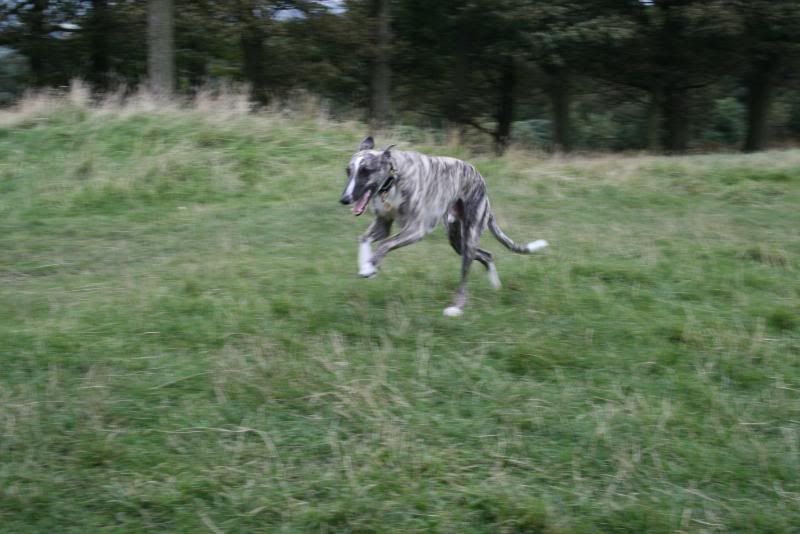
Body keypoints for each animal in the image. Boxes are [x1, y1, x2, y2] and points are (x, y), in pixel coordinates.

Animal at [338, 136, 552, 318]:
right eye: (348, 171)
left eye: (365, 171)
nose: (344, 199)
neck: (393, 179)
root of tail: (482, 185)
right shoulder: (383, 224)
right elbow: (364, 238)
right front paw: (366, 265)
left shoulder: (416, 229)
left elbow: (384, 245)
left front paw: (369, 267)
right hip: (457, 239)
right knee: (486, 255)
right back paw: (495, 286)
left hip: (469, 236)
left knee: (466, 275)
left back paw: (456, 308)